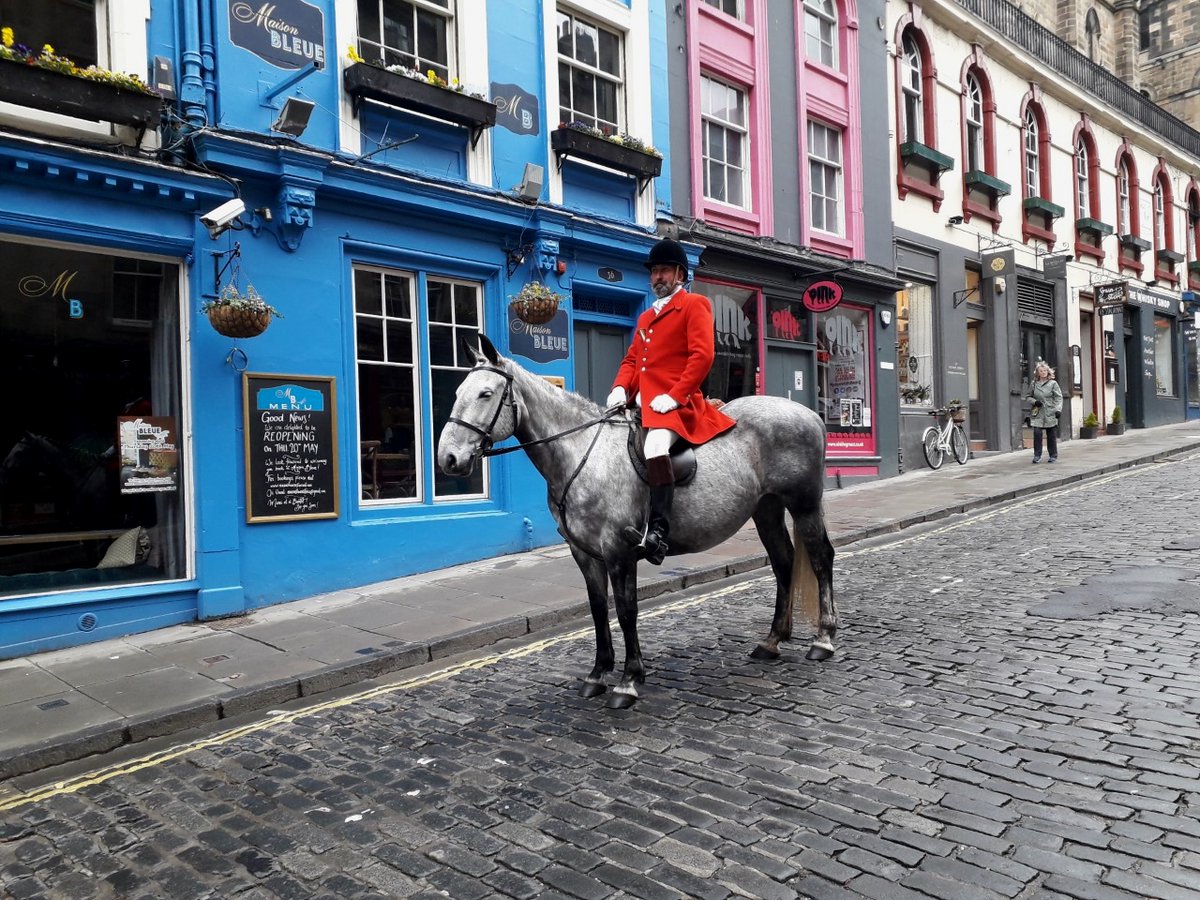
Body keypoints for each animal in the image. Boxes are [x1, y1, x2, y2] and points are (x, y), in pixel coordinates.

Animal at [436, 336, 840, 710]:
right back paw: (772, 641)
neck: (583, 453)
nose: (448, 459)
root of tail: (811, 415)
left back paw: (823, 638)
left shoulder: (619, 550)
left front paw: (629, 680)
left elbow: (627, 611)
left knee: (820, 557)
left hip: (803, 504)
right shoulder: (585, 553)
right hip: (766, 508)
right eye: (456, 391)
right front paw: (598, 673)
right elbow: (599, 610)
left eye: (486, 393)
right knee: (784, 562)